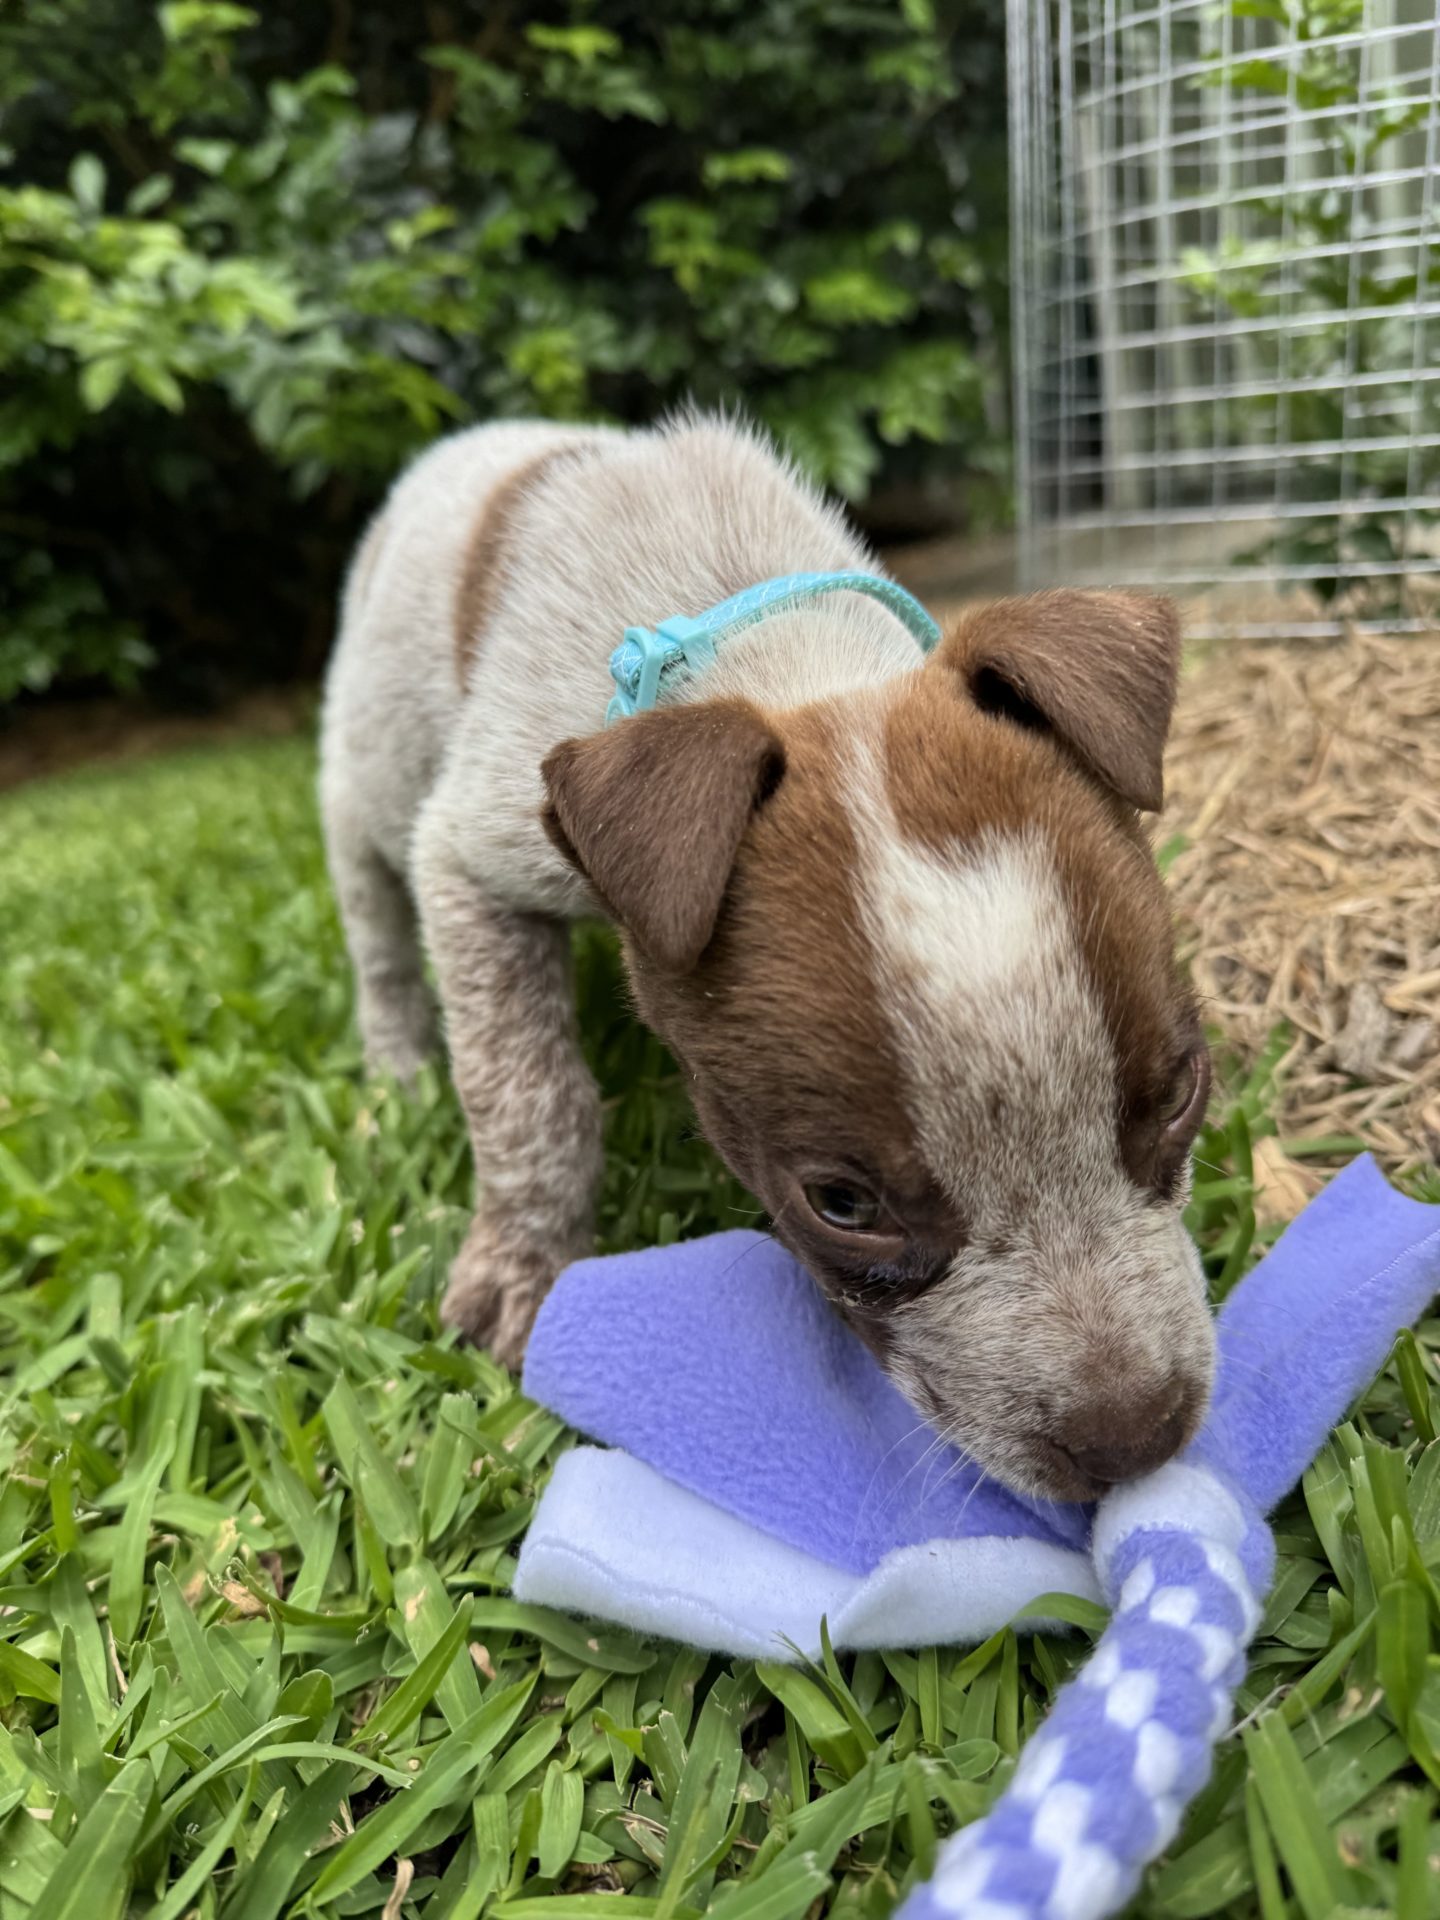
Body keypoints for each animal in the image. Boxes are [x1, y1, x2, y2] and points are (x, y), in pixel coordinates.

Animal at [319, 411, 1215, 1501]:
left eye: (1181, 1093)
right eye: (841, 1204)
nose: (1136, 1442)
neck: (775, 652)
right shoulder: (473, 853)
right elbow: (530, 1099)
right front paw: (523, 1268)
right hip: (364, 771)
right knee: (376, 927)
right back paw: (398, 1071)